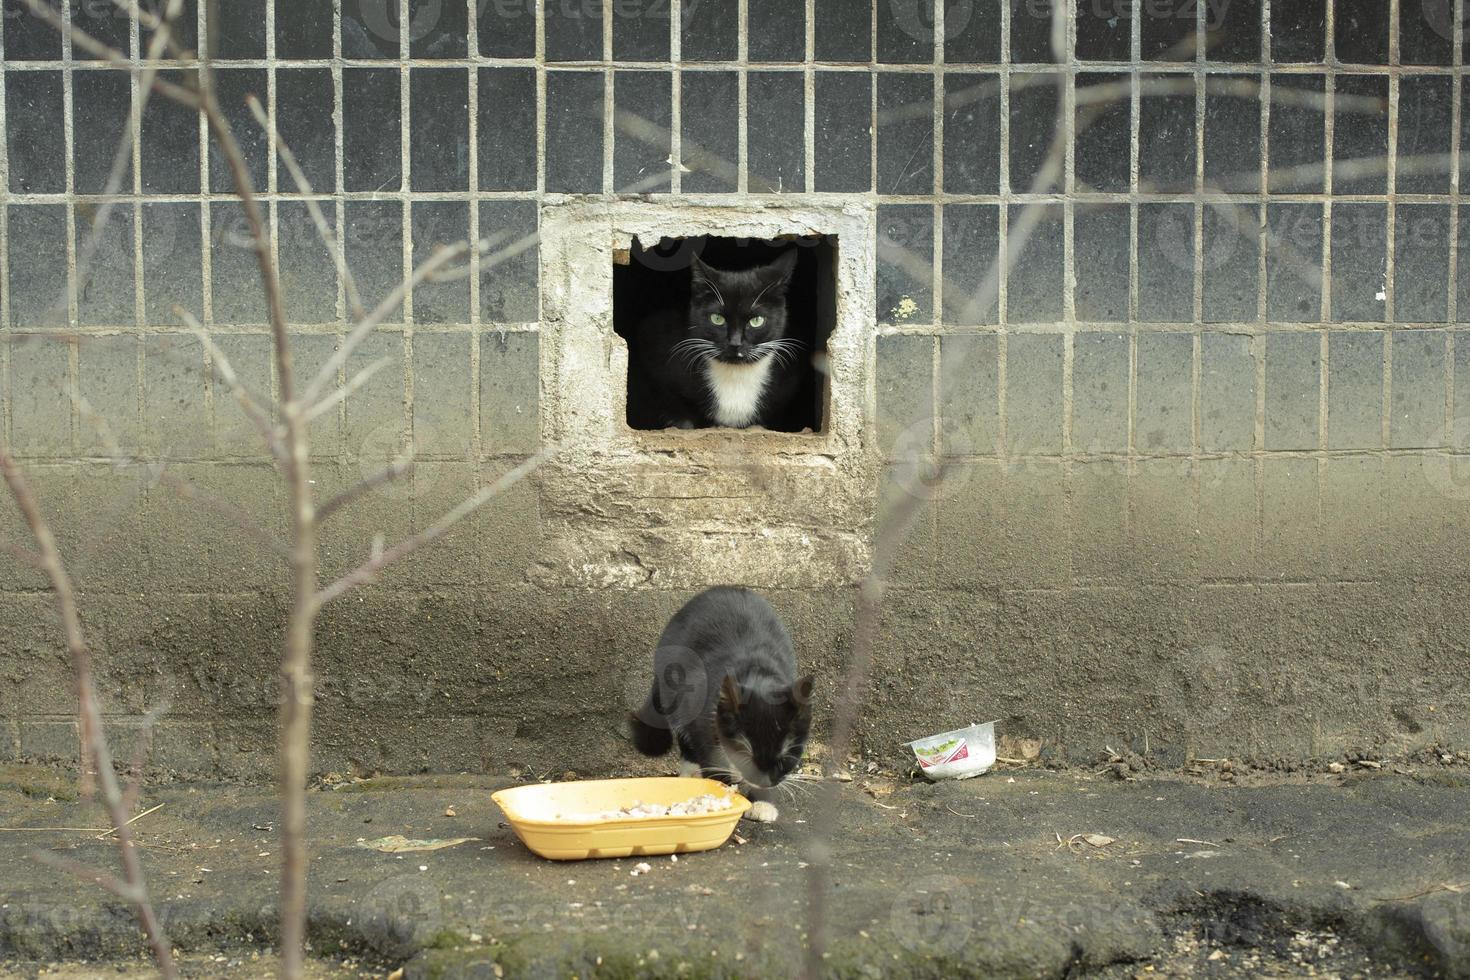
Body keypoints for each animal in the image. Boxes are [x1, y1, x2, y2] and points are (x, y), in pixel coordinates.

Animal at [623, 249, 805, 429]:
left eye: (757, 321)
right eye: (717, 319)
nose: (735, 342)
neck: (735, 375)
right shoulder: (654, 342)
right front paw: (680, 422)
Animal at [629, 587, 817, 822]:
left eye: (785, 757)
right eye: (746, 755)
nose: (763, 781)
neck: (758, 674)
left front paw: (762, 802)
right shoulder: (699, 707)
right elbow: (708, 753)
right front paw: (720, 800)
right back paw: (692, 772)